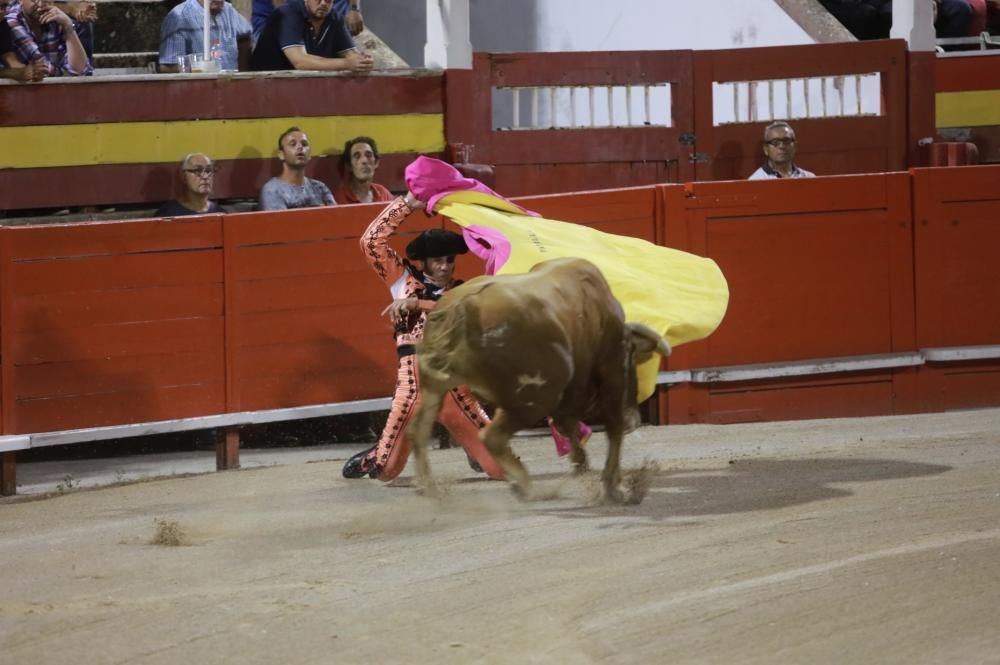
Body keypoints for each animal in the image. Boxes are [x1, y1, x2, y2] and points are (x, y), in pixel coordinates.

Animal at [406, 256, 672, 500]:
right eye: (632, 362)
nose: (634, 419)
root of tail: (462, 305)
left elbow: (568, 426)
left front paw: (583, 465)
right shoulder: (611, 371)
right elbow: (611, 429)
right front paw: (613, 487)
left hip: (436, 386)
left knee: (418, 429)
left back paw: (429, 487)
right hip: (532, 399)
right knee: (491, 437)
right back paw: (524, 484)